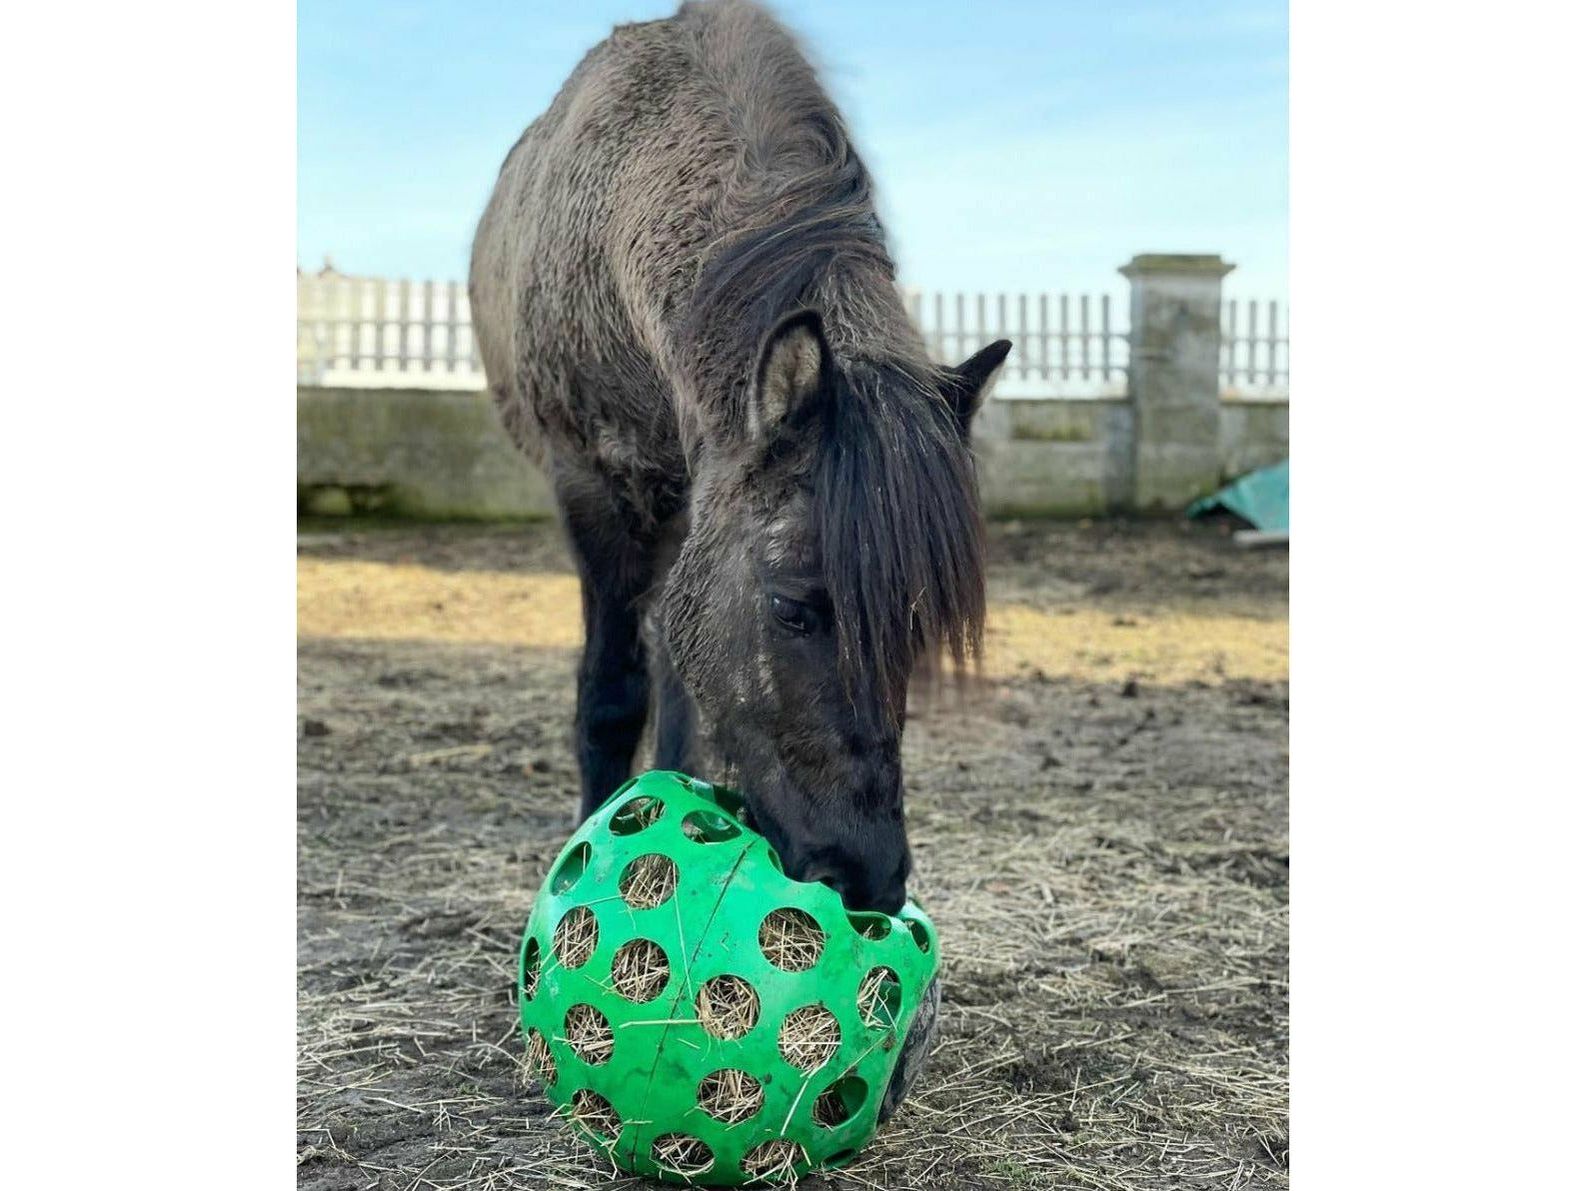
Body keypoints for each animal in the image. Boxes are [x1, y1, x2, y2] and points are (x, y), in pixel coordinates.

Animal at [466, 0, 1003, 921]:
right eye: (792, 609)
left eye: (917, 624)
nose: (871, 878)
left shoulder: (701, 495)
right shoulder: (589, 484)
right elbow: (611, 690)